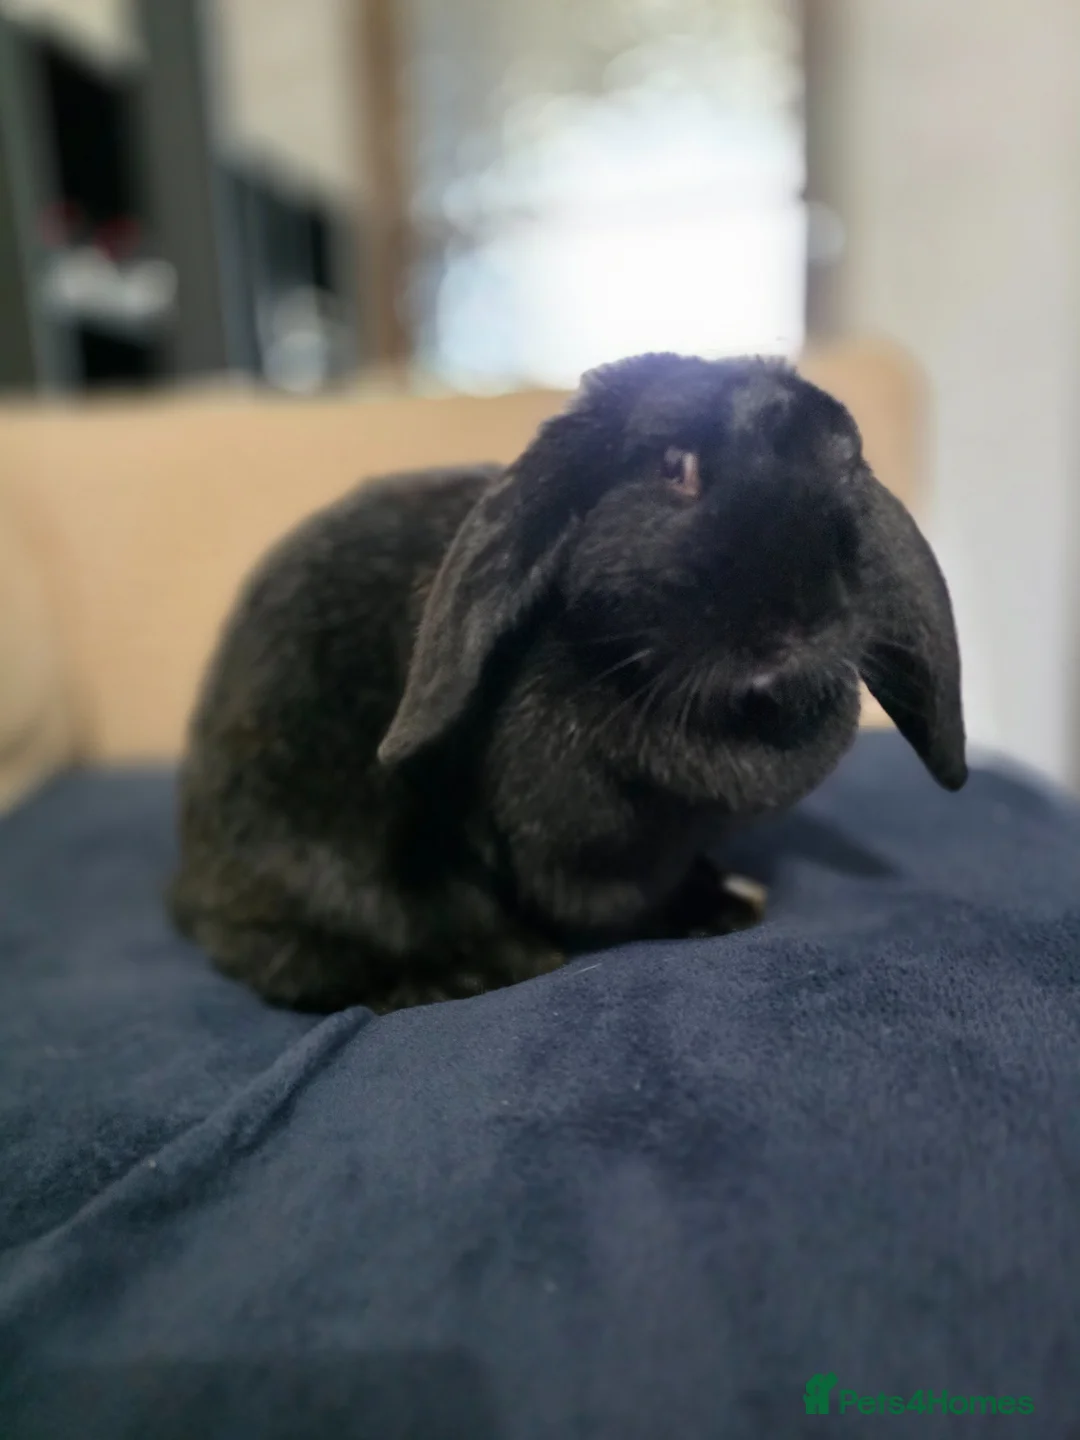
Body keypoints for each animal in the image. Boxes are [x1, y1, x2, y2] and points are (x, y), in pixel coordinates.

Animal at [168, 352, 966, 1014]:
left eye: (849, 475)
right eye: (674, 465)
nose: (807, 620)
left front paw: (725, 897)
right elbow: (608, 904)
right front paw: (708, 911)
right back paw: (460, 974)